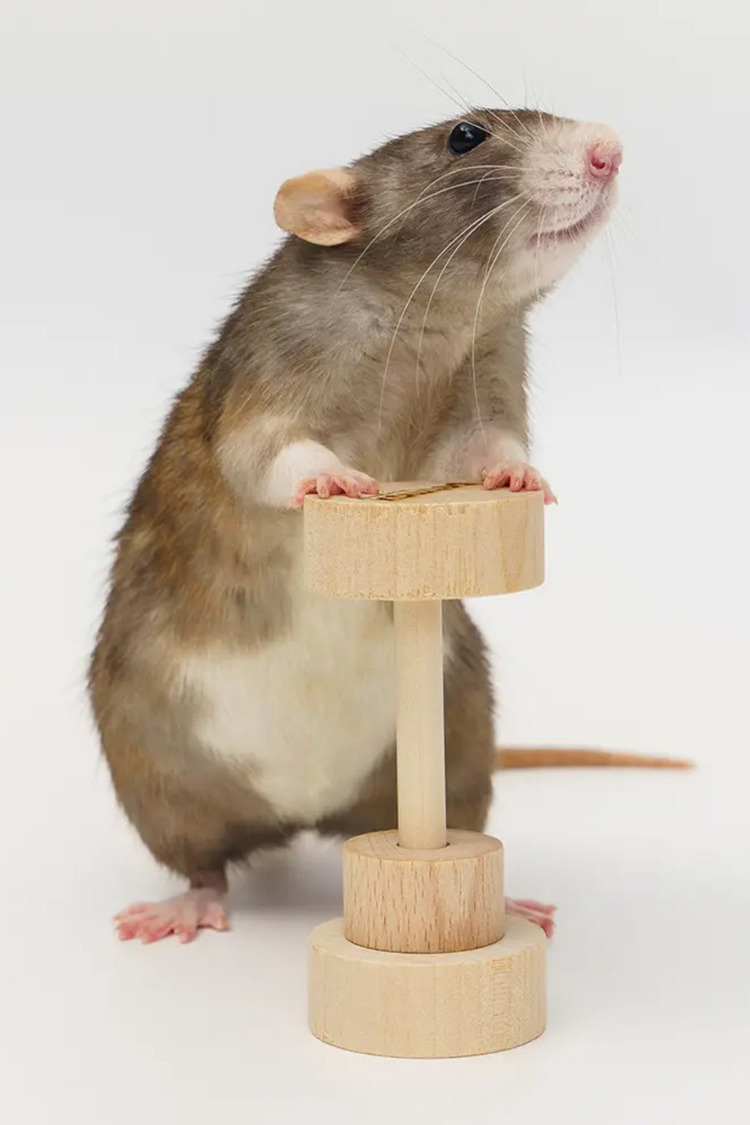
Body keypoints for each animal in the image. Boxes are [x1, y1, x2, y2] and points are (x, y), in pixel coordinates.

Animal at [90, 108, 626, 944]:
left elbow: (484, 443)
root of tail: (302, 814)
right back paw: (189, 901)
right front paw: (327, 475)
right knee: (201, 857)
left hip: (458, 737)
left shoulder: (488, 363)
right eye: (465, 137)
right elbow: (259, 452)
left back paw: (502, 900)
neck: (428, 319)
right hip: (155, 777)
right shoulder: (272, 356)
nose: (608, 149)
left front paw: (519, 473)